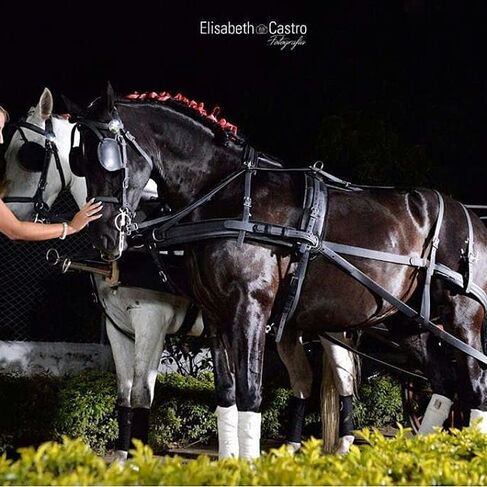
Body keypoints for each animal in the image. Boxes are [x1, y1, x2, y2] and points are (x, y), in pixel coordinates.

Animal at [1, 89, 364, 460]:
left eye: (28, 155)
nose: (10, 214)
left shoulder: (151, 321)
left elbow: (141, 395)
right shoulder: (118, 327)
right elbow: (124, 396)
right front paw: (123, 458)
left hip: (331, 324)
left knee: (344, 378)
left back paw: (344, 444)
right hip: (288, 328)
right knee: (303, 380)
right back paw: (292, 447)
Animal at [66, 86, 487, 458]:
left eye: (107, 157)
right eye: (78, 160)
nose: (105, 236)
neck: (226, 195)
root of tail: (472, 220)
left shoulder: (247, 309)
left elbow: (250, 393)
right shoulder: (216, 317)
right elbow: (226, 395)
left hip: (462, 319)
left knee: (475, 387)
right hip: (407, 323)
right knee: (443, 383)